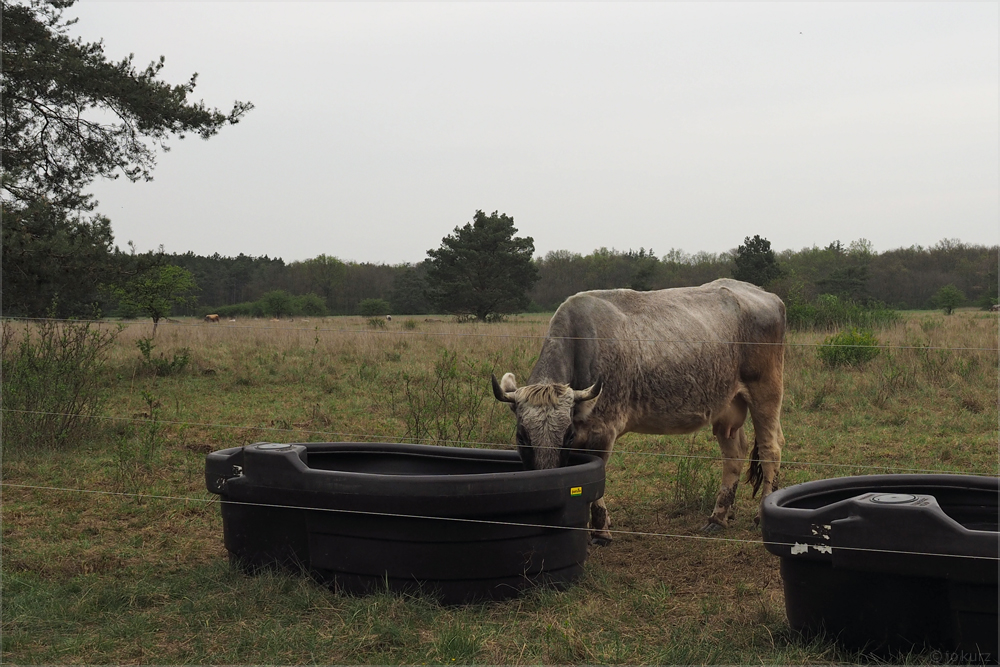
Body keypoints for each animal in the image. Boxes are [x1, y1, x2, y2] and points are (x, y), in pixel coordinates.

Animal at [496, 276, 784, 544]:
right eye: (522, 436)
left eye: (566, 436)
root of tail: (762, 293)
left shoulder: (602, 431)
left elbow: (597, 480)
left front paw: (600, 531)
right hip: (727, 406)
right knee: (734, 454)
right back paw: (718, 516)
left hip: (766, 392)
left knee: (770, 449)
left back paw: (760, 515)